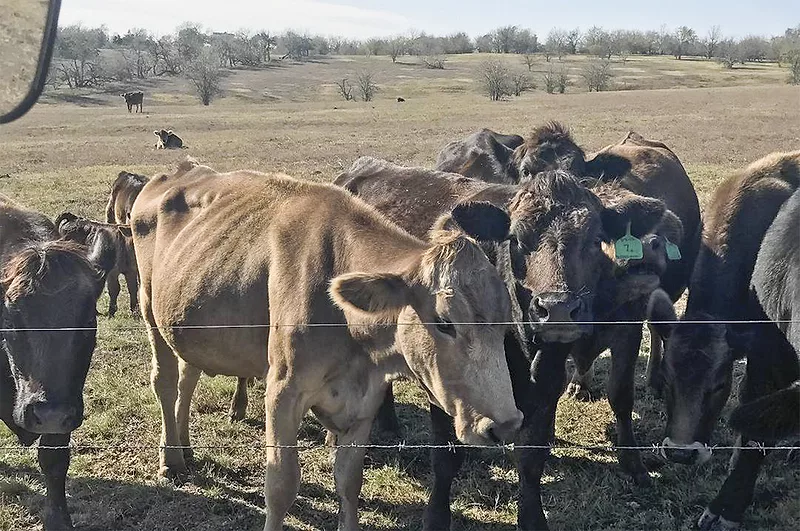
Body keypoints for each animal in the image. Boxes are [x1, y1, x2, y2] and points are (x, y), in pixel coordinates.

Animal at [0, 195, 114, 530]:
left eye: (87, 320)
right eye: (11, 319)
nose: (49, 414)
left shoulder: (67, 399)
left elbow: (54, 458)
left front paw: (57, 520)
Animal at [131, 158, 524, 530]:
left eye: (505, 325)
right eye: (445, 323)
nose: (505, 425)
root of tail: (175, 172)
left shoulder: (365, 400)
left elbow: (349, 483)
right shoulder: (283, 391)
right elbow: (281, 485)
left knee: (188, 377)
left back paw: (186, 447)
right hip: (151, 311)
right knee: (166, 383)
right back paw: (171, 459)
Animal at [334, 156, 679, 529]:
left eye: (596, 239)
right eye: (515, 239)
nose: (557, 308)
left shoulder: (548, 380)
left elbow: (531, 456)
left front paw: (532, 517)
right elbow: (447, 457)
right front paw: (437, 516)